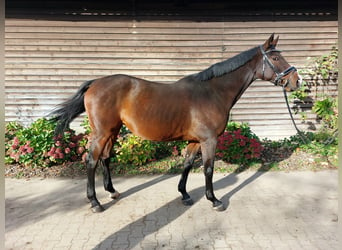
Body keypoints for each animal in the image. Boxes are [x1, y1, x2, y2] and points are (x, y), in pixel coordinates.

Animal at [50, 34, 300, 212]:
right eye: (276, 58)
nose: (296, 81)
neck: (212, 92)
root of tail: (94, 83)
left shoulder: (195, 141)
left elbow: (187, 164)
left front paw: (185, 195)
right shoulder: (209, 140)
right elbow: (208, 169)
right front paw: (214, 200)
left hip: (112, 131)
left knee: (105, 157)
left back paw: (112, 191)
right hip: (101, 132)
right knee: (91, 160)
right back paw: (95, 202)